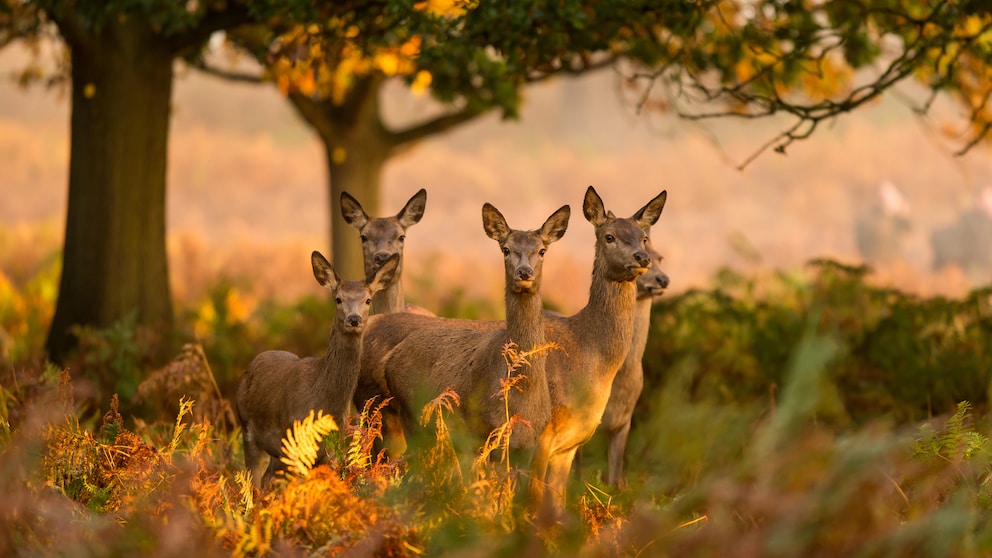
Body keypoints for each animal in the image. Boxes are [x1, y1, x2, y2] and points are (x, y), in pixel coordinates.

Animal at [234, 252, 398, 488]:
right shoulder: (297, 445)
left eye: (368, 300)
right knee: (252, 483)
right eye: (338, 299)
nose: (354, 319)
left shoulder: (330, 452)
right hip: (247, 428)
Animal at [360, 203, 568, 448]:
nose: (524, 272)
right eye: (506, 249)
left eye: (542, 250)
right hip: (409, 415)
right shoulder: (481, 429)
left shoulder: (531, 440)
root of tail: (390, 359)